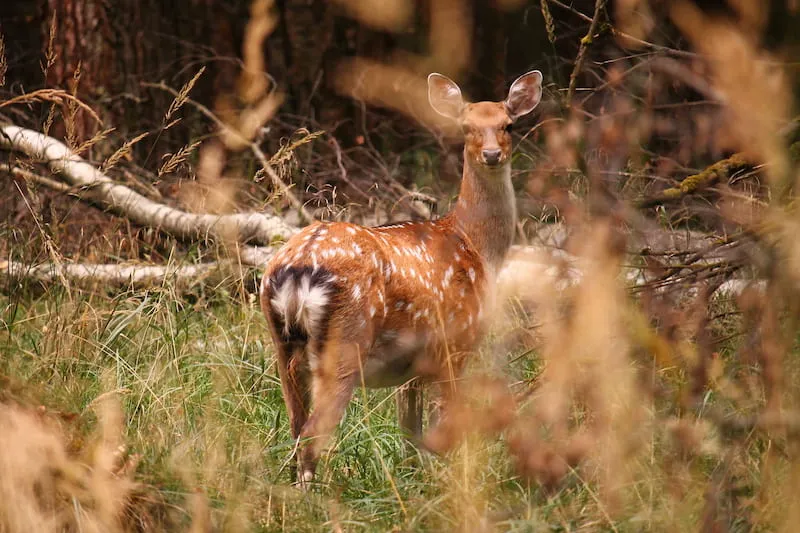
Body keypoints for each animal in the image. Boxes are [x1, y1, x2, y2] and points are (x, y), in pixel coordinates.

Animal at [260, 70, 543, 484]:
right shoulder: (455, 343)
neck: (474, 244)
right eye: (466, 127)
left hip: (282, 344)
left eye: (509, 125)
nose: (492, 154)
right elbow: (444, 427)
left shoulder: (413, 367)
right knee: (312, 435)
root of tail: (297, 268)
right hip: (346, 342)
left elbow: (410, 433)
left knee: (296, 428)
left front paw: (416, 479)